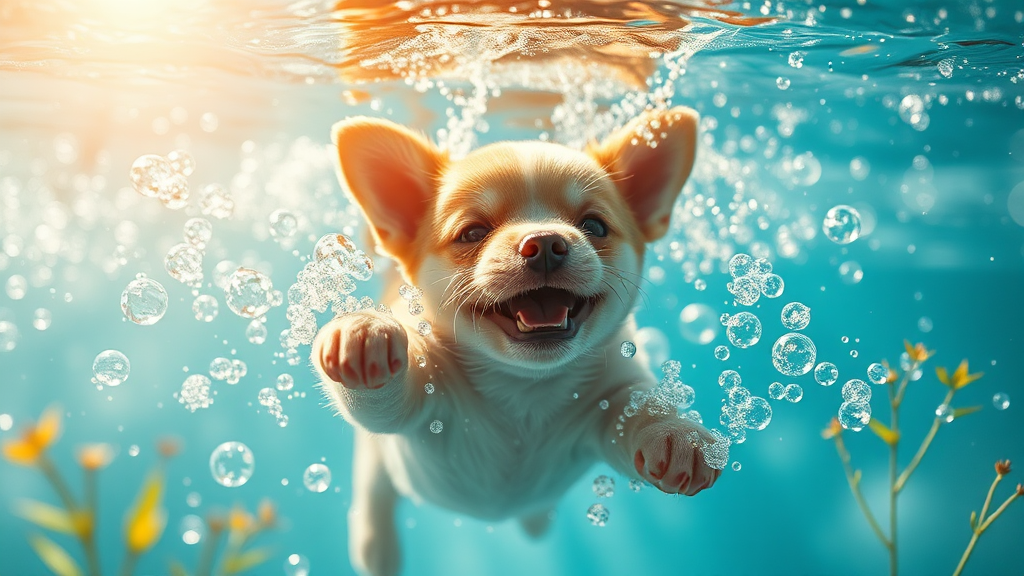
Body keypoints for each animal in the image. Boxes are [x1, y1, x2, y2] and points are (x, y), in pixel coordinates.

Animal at [311, 107, 720, 573]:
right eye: (472, 233)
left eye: (594, 226)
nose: (544, 242)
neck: (524, 387)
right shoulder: (423, 398)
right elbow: (385, 400)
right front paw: (364, 331)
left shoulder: (611, 400)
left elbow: (642, 410)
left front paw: (675, 433)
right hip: (377, 461)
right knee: (375, 491)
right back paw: (375, 546)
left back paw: (536, 520)